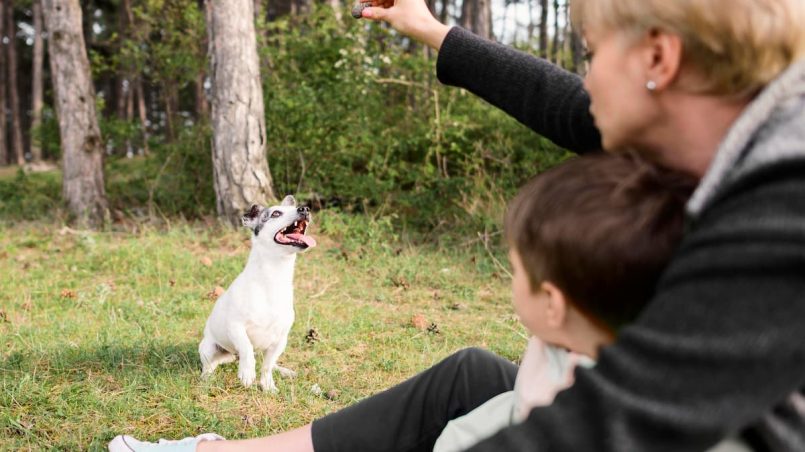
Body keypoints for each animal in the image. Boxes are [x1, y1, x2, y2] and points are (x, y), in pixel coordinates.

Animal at [196, 195, 316, 392]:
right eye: (275, 213)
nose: (304, 209)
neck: (273, 277)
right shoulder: (236, 327)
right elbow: (246, 349)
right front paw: (247, 373)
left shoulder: (280, 340)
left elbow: (267, 366)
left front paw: (267, 386)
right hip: (208, 348)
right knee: (210, 365)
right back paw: (207, 378)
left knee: (267, 362)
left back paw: (283, 370)